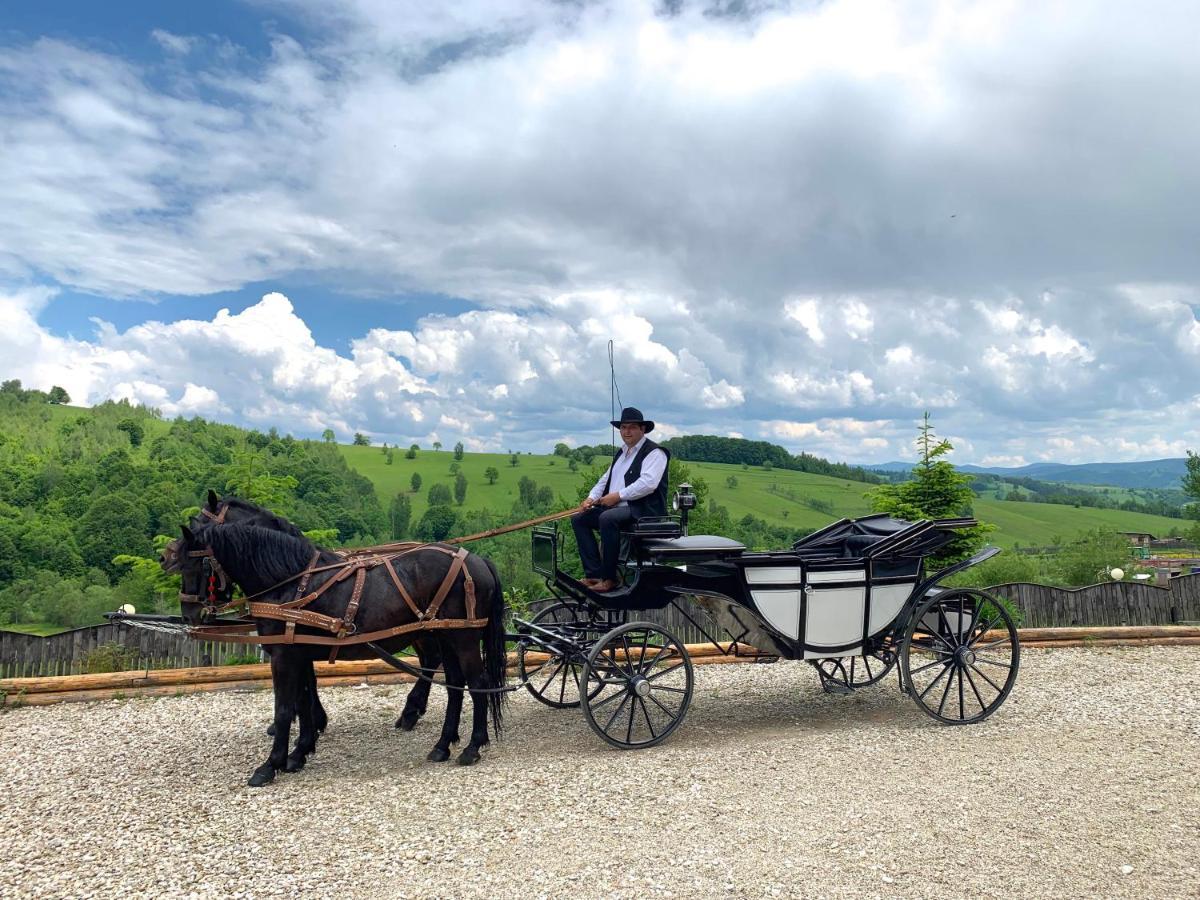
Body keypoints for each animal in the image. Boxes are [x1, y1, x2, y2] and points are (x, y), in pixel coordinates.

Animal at [170, 525, 506, 787]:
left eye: (190, 566)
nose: (189, 615)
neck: (291, 583)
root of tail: (477, 560)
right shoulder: (299, 654)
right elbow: (304, 702)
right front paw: (299, 753)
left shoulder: (284, 657)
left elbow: (283, 709)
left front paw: (270, 765)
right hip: (446, 636)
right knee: (454, 687)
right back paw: (442, 745)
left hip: (463, 638)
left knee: (477, 684)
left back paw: (473, 746)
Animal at [189, 494, 444, 739]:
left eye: (197, 524)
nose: (193, 611)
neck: (297, 576)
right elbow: (308, 679)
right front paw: (312, 720)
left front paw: (304, 722)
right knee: (430, 661)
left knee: (431, 660)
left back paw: (411, 711)